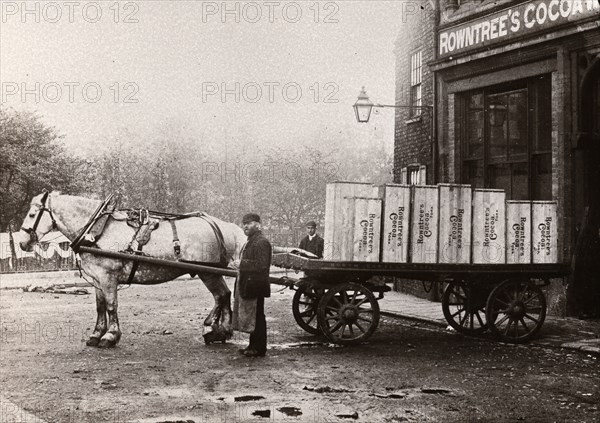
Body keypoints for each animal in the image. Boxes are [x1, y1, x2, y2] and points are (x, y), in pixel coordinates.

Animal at [17, 192, 246, 348]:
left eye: (32, 214)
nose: (22, 243)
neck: (98, 230)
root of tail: (220, 224)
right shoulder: (98, 280)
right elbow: (100, 307)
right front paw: (96, 334)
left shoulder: (108, 277)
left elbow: (111, 306)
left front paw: (110, 336)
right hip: (210, 272)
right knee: (224, 295)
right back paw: (221, 331)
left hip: (208, 272)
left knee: (221, 295)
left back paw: (214, 329)